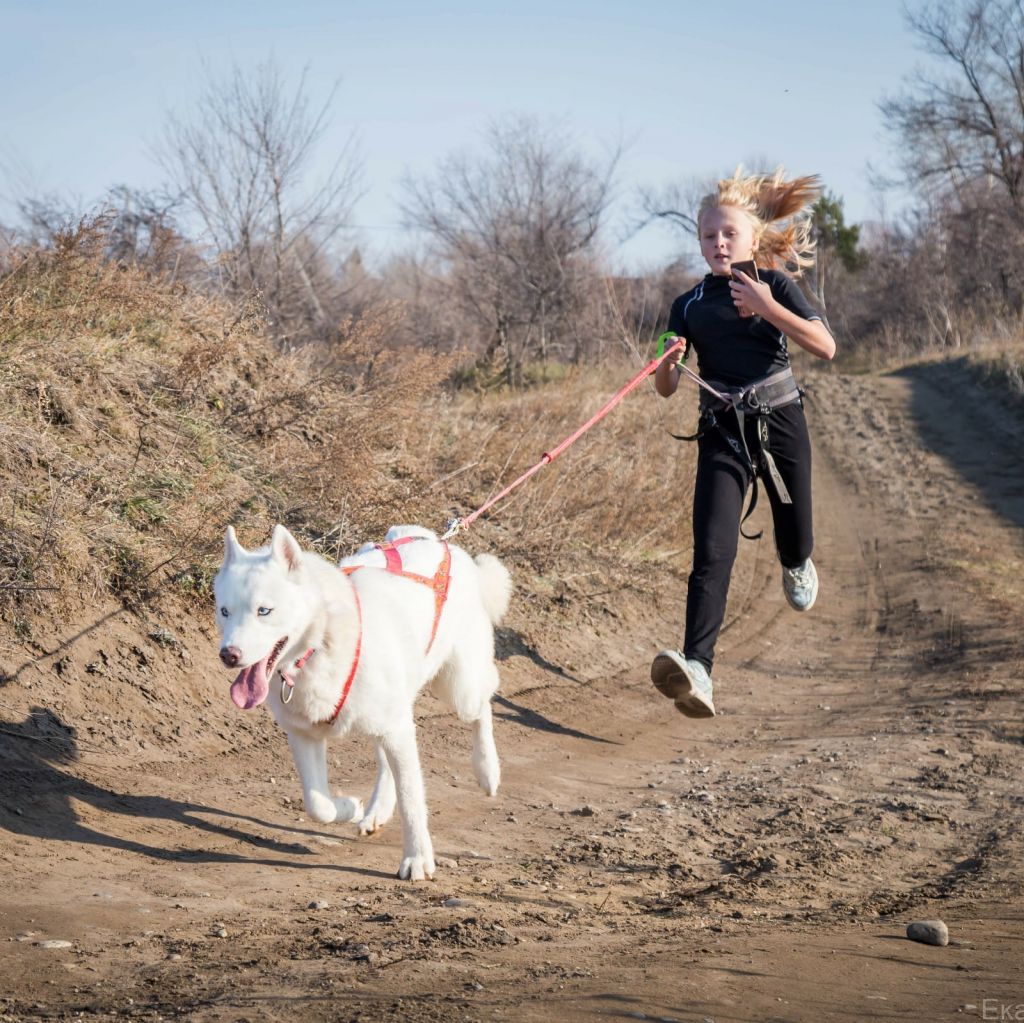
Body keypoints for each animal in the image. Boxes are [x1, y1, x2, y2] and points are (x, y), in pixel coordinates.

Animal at [214, 528, 509, 880]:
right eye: (225, 611)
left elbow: (411, 800)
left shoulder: (397, 729)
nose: (229, 656)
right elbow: (318, 805)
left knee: (484, 703)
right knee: (385, 762)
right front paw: (349, 807)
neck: (319, 645)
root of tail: (440, 541)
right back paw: (376, 810)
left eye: (264, 611)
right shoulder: (303, 736)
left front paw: (417, 858)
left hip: (458, 690)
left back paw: (487, 770)